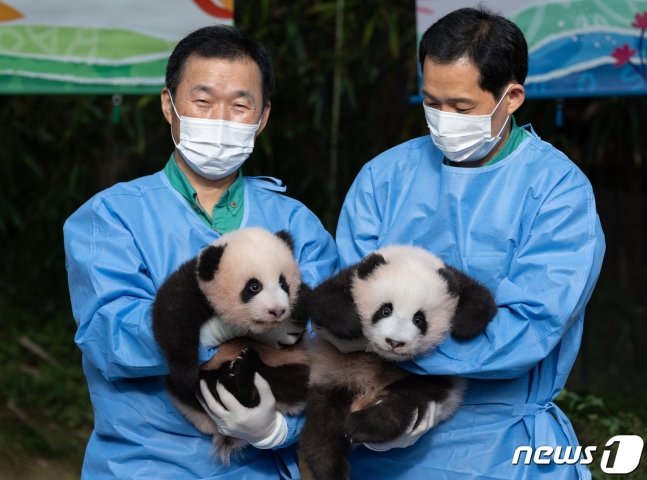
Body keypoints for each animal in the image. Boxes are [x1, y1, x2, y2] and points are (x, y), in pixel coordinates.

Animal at [302, 248, 498, 480]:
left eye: (419, 319)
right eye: (385, 310)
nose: (395, 342)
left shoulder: (455, 280)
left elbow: (481, 300)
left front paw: (462, 325)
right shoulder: (351, 276)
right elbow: (323, 300)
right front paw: (352, 326)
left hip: (425, 386)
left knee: (403, 403)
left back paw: (362, 426)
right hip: (334, 379)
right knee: (323, 427)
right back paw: (330, 468)